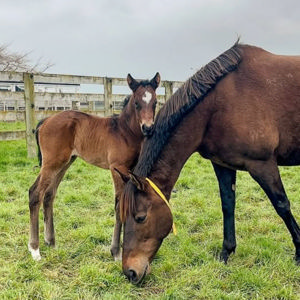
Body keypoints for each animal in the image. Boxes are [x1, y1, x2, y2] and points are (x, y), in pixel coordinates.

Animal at [28, 72, 161, 260]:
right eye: (136, 103)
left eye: (155, 102)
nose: (148, 128)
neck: (126, 132)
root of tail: (45, 121)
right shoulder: (117, 169)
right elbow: (119, 205)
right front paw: (116, 252)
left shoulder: (132, 171)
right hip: (52, 163)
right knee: (35, 194)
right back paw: (35, 250)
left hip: (64, 163)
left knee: (48, 195)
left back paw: (51, 242)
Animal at [118, 41, 300, 284]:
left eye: (140, 218)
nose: (130, 272)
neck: (222, 104)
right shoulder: (223, 164)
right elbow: (228, 205)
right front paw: (226, 252)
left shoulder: (263, 165)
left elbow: (282, 205)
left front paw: (299, 252)